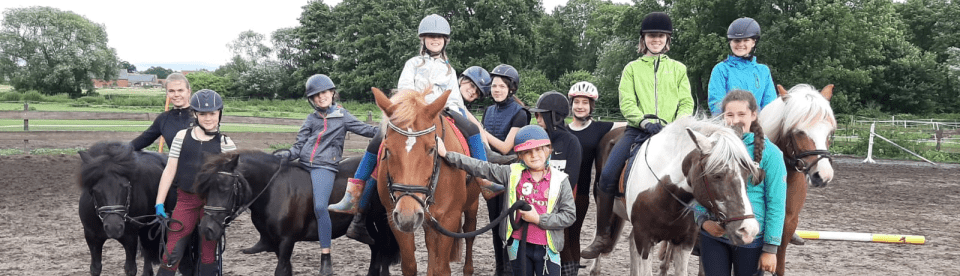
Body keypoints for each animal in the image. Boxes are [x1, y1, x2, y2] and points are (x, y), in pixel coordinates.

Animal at [78, 142, 171, 276]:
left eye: (126, 186)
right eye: (95, 190)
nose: (114, 227)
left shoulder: (130, 238)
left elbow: (130, 269)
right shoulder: (91, 237)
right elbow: (95, 268)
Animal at [191, 151, 398, 276]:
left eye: (225, 188)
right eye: (206, 189)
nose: (207, 229)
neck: (273, 190)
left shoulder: (286, 241)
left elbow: (281, 270)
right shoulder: (276, 244)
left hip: (382, 223)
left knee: (383, 252)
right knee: (376, 250)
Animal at [372, 87, 484, 274]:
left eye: (431, 149)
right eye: (387, 149)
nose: (408, 214)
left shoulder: (449, 219)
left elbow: (442, 269)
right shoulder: (396, 218)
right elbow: (410, 266)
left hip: (471, 206)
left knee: (469, 234)